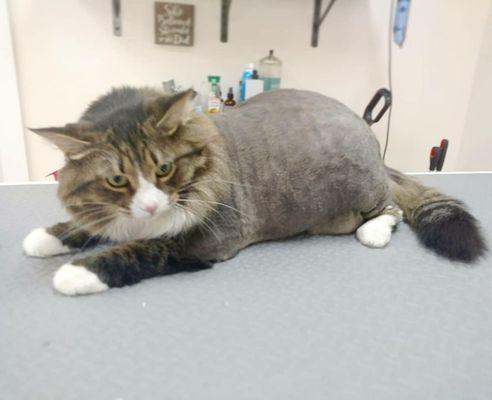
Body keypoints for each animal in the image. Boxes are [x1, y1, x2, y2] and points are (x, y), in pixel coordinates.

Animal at [22, 87, 484, 296]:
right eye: (117, 180)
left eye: (165, 169)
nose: (151, 206)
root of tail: (364, 127)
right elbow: (93, 225)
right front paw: (49, 237)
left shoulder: (211, 237)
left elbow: (145, 249)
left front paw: (78, 272)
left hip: (363, 191)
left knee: (392, 209)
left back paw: (373, 232)